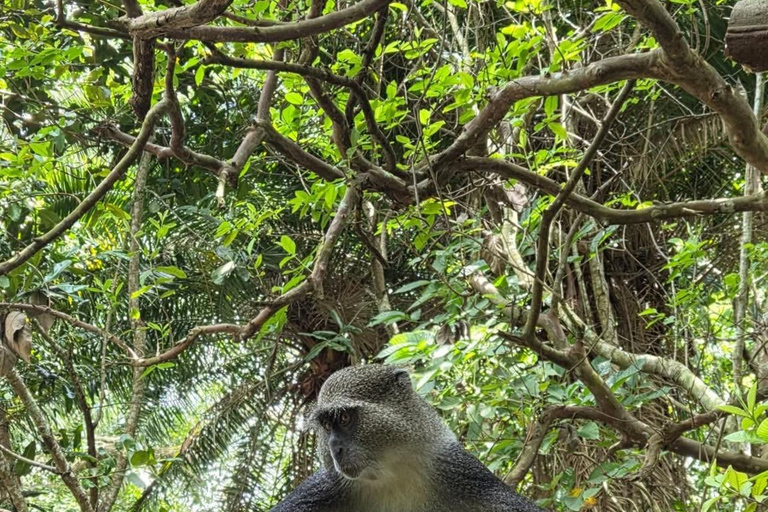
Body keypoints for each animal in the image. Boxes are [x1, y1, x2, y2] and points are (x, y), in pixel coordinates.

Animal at [268, 364, 549, 512]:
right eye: (327, 425)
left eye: (345, 418)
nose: (334, 447)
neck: (389, 473)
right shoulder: (327, 486)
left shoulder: (454, 467)